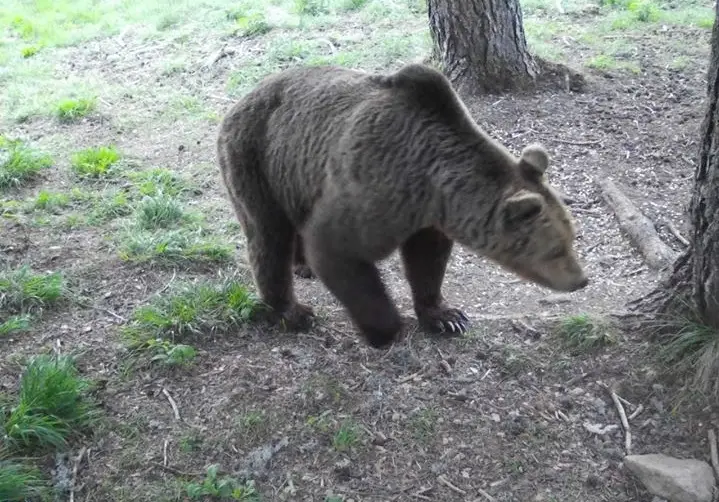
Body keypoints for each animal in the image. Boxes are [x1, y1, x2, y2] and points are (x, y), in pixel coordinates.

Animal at [217, 63, 588, 350]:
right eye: (556, 249)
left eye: (572, 238)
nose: (581, 280)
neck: (431, 186)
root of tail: (239, 100)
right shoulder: (374, 190)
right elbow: (336, 248)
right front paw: (387, 330)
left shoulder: (425, 219)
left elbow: (427, 262)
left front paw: (446, 316)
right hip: (255, 158)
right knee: (268, 236)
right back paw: (292, 311)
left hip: (294, 174)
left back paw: (302, 265)